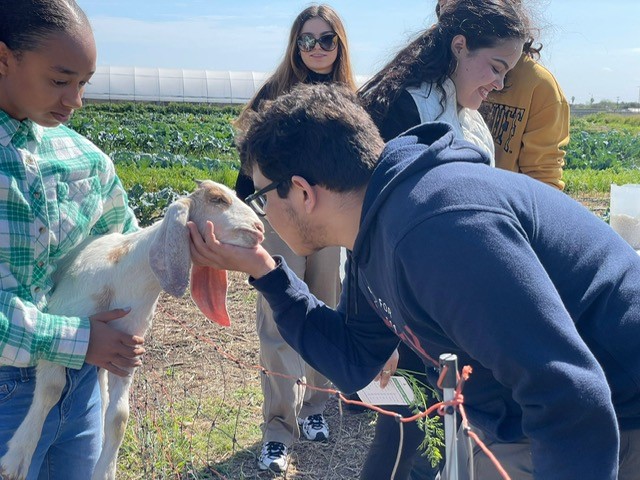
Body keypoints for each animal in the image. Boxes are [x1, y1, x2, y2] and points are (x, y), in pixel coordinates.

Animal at [0, 180, 262, 480]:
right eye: (218, 200)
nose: (259, 229)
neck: (127, 275)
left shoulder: (126, 347)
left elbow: (119, 417)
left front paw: (105, 470)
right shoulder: (64, 319)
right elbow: (53, 387)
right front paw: (17, 458)